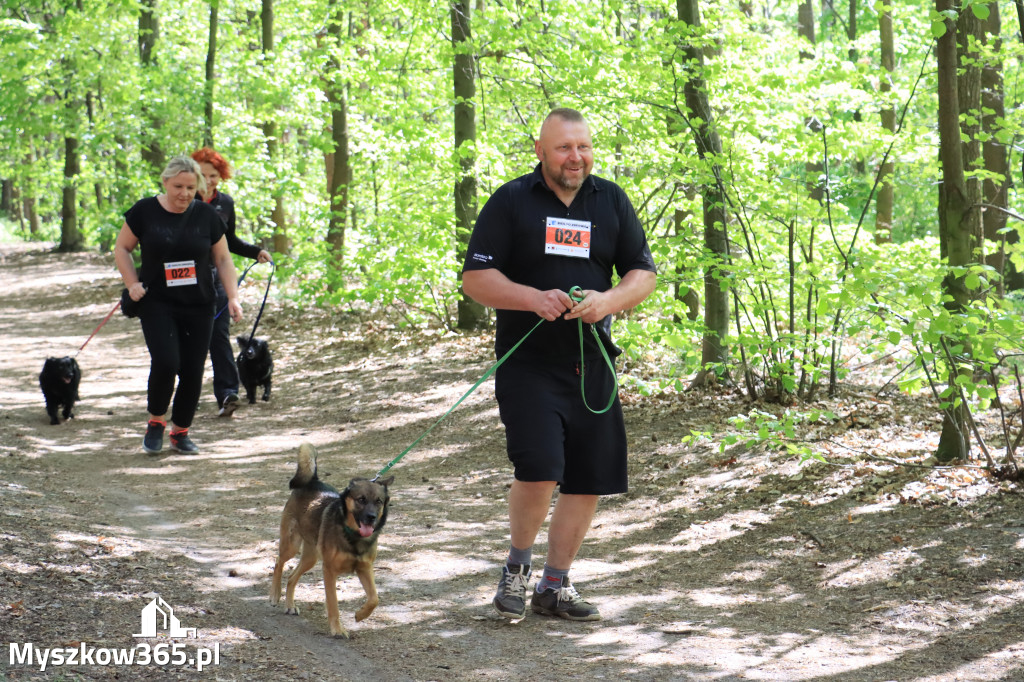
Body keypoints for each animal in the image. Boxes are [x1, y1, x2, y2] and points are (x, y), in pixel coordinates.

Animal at [270, 444, 393, 634]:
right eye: (361, 499)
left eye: (378, 501)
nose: (371, 517)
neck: (352, 536)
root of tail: (313, 481)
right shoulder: (329, 571)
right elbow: (333, 603)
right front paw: (337, 629)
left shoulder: (365, 568)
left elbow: (374, 598)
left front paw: (361, 615)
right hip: (292, 545)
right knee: (278, 561)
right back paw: (275, 595)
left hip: (311, 558)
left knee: (291, 578)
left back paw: (290, 605)